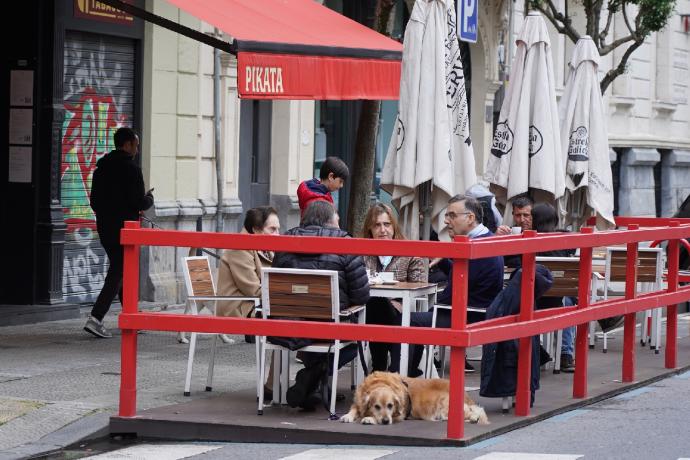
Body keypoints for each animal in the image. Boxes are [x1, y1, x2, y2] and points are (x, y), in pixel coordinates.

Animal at [340, 372, 490, 426]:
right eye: (376, 406)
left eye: (390, 405)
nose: (385, 421)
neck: (380, 383)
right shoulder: (359, 401)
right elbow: (354, 408)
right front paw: (347, 416)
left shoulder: (399, 415)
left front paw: (369, 419)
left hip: (445, 406)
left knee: (476, 412)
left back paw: (474, 418)